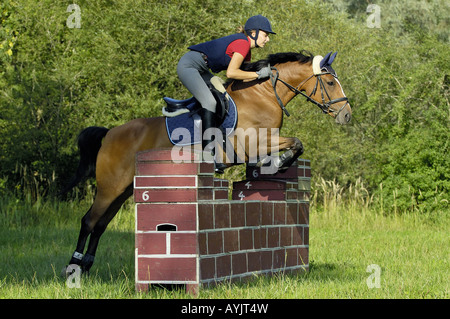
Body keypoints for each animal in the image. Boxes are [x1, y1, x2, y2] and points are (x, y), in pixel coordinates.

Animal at [62, 50, 352, 272]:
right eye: (330, 83)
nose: (347, 115)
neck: (263, 96)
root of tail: (110, 133)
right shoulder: (253, 145)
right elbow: (296, 142)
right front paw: (281, 162)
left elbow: (294, 146)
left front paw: (276, 164)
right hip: (109, 187)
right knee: (89, 221)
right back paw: (73, 267)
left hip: (124, 190)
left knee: (100, 224)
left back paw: (86, 265)